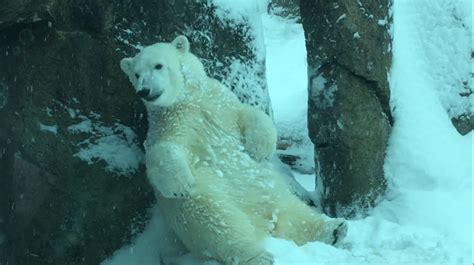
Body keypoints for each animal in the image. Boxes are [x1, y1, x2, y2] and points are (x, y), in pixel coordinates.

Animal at [120, 35, 346, 264]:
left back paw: (334, 228)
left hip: (269, 189)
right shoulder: (170, 124)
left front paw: (259, 149)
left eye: (158, 65)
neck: (187, 100)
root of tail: (261, 221)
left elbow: (248, 113)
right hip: (209, 197)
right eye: (136, 74)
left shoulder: (218, 102)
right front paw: (180, 185)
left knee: (293, 212)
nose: (144, 90)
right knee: (219, 222)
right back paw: (257, 256)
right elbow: (163, 150)